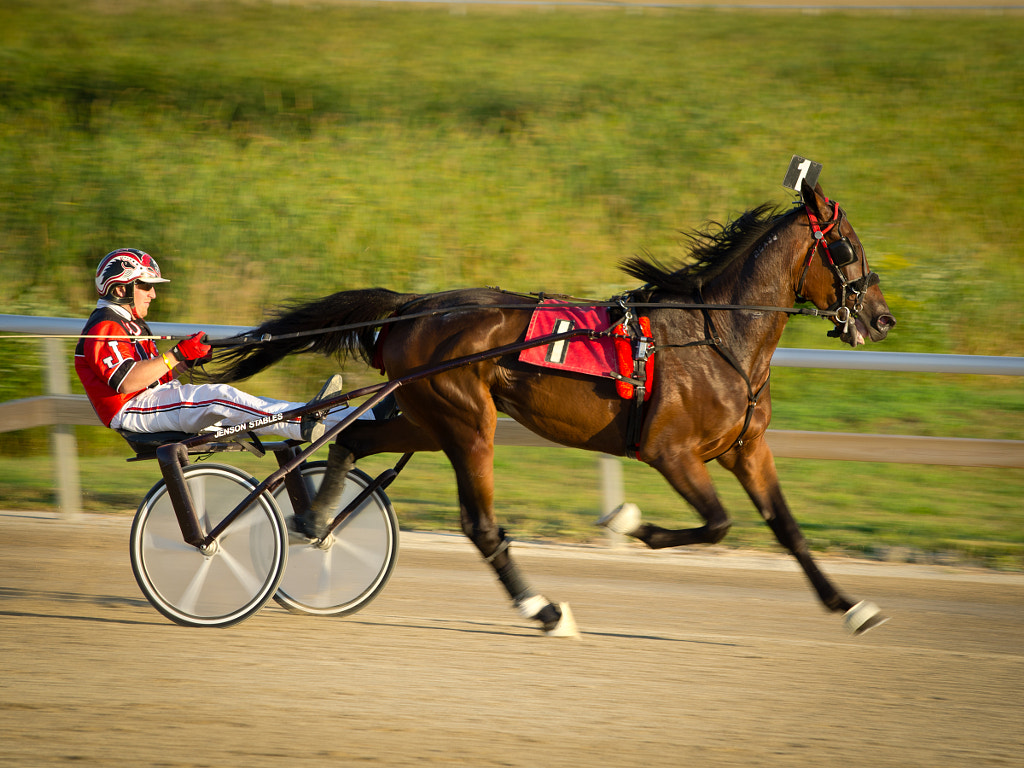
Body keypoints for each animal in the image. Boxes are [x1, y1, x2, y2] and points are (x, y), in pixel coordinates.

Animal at [209, 182, 897, 638]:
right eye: (847, 247)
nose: (882, 319)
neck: (717, 339)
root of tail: (411, 306)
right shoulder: (670, 451)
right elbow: (719, 523)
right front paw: (628, 522)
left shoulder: (747, 447)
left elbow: (788, 528)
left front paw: (852, 606)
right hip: (468, 422)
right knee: (480, 525)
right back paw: (542, 609)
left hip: (428, 417)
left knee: (353, 442)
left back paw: (315, 521)